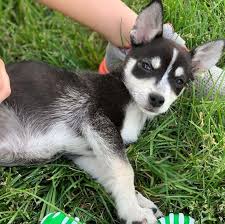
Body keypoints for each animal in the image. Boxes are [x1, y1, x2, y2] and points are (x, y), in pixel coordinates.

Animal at [0, 0, 225, 223]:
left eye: (179, 81)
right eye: (146, 66)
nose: (157, 99)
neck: (132, 100)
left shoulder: (85, 153)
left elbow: (112, 174)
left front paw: (139, 202)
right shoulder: (97, 121)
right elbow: (125, 170)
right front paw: (133, 211)